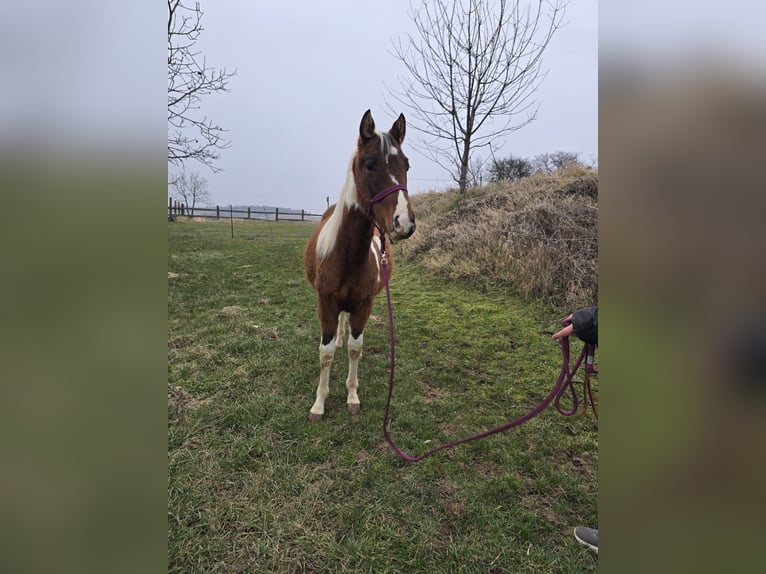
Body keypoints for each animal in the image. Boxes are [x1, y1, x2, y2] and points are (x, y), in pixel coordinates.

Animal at [304, 110, 416, 421]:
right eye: (369, 164)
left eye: (406, 164)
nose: (404, 223)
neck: (348, 257)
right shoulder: (325, 304)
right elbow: (326, 352)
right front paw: (319, 403)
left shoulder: (364, 305)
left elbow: (356, 348)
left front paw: (352, 396)